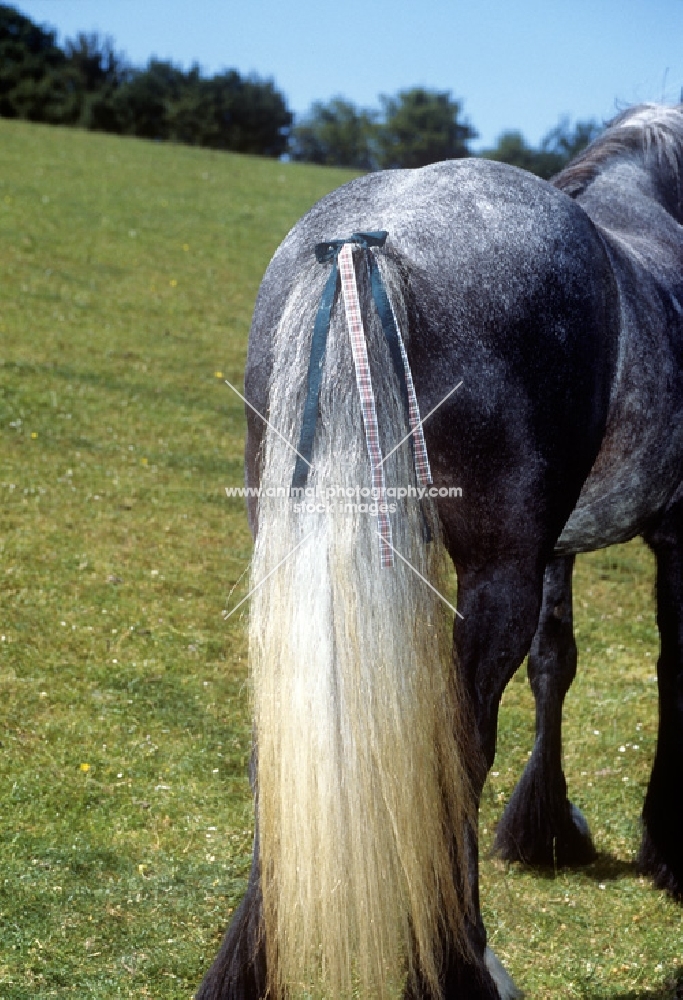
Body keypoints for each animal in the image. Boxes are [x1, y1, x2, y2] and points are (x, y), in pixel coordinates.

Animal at [198, 105, 683, 996]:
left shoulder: (558, 545)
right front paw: (664, 843)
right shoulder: (667, 532)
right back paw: (462, 962)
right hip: (492, 572)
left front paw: (545, 831)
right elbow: (667, 668)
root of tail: (364, 239)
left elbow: (556, 661)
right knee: (458, 745)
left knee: (273, 753)